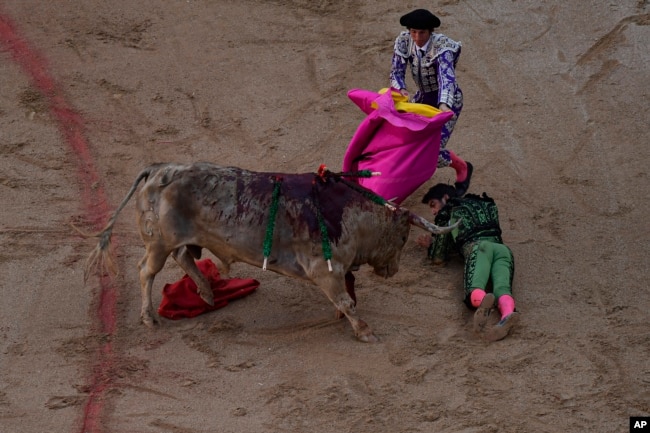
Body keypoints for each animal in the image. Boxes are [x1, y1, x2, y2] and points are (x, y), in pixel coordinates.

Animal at [86, 162, 456, 340]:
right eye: (404, 238)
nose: (393, 270)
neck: (352, 214)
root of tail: (160, 168)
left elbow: (346, 296)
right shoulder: (325, 270)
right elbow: (346, 300)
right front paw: (365, 331)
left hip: (177, 240)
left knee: (184, 256)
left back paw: (207, 293)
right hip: (158, 243)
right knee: (146, 270)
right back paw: (149, 317)